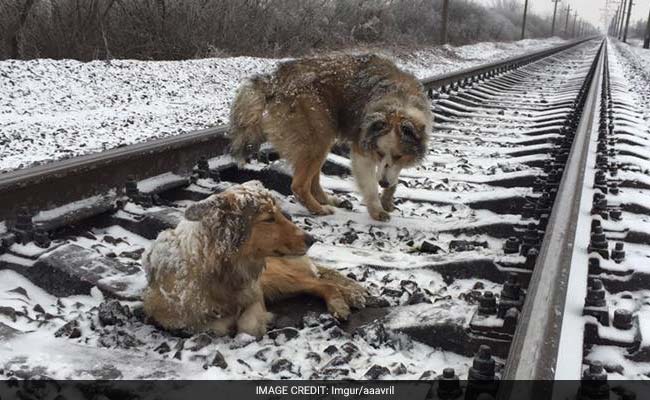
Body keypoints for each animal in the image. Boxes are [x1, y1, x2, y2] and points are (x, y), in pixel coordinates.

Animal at [141, 181, 364, 338]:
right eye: (269, 219)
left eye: (279, 214)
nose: (312, 239)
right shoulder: (169, 316)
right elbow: (214, 326)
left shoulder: (255, 294)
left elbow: (247, 326)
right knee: (319, 282)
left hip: (276, 278)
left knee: (323, 283)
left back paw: (344, 301)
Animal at [229, 53, 430, 222]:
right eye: (379, 153)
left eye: (399, 156)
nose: (383, 182)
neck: (398, 103)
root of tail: (274, 81)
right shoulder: (361, 150)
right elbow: (370, 186)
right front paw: (377, 210)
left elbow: (393, 176)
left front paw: (387, 199)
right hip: (318, 137)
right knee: (299, 185)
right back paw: (319, 209)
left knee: (313, 182)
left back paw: (331, 201)